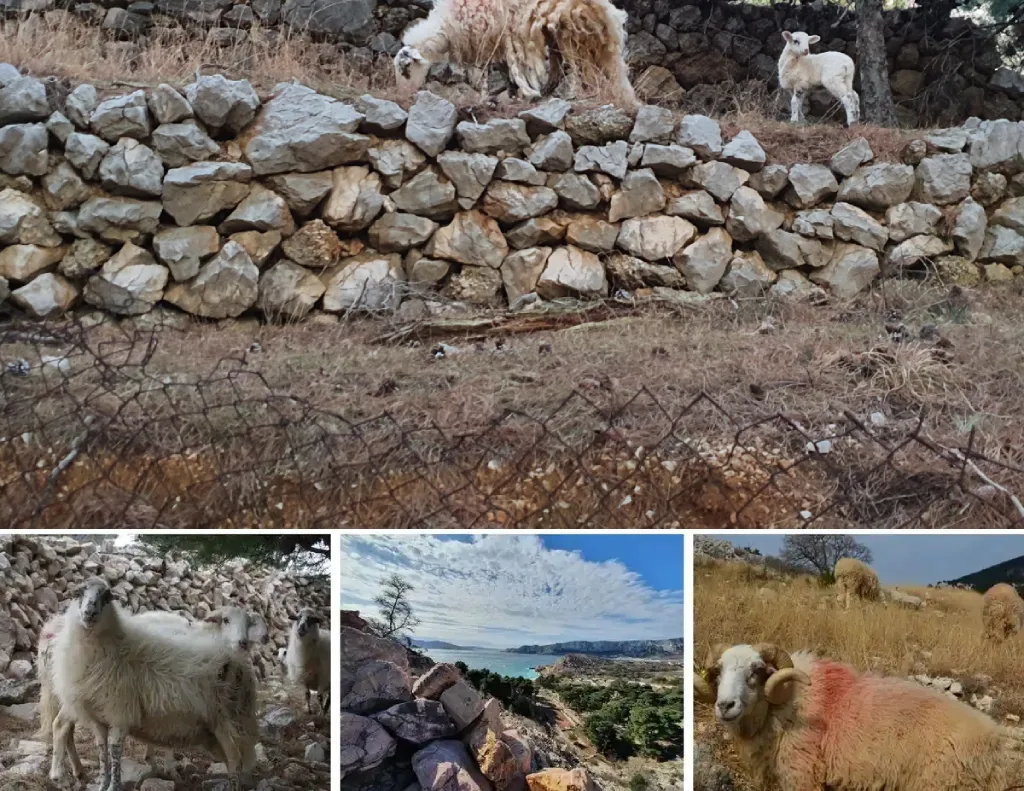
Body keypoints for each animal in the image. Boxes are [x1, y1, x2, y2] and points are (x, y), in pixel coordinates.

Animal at [49, 578, 258, 791]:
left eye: (107, 596)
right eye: (78, 593)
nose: (89, 613)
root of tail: (239, 661)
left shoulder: (120, 714)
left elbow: (115, 752)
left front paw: (114, 786)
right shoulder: (98, 719)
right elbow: (102, 752)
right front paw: (102, 785)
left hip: (229, 721)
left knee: (235, 760)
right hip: (213, 731)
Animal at [393, 0, 637, 109]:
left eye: (406, 70)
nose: (403, 95)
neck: (445, 27)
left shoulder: (489, 38)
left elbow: (484, 75)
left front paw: (488, 98)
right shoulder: (496, 43)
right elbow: (501, 71)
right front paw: (512, 94)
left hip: (568, 30)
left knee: (575, 67)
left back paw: (574, 95)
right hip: (556, 35)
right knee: (561, 68)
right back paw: (547, 93)